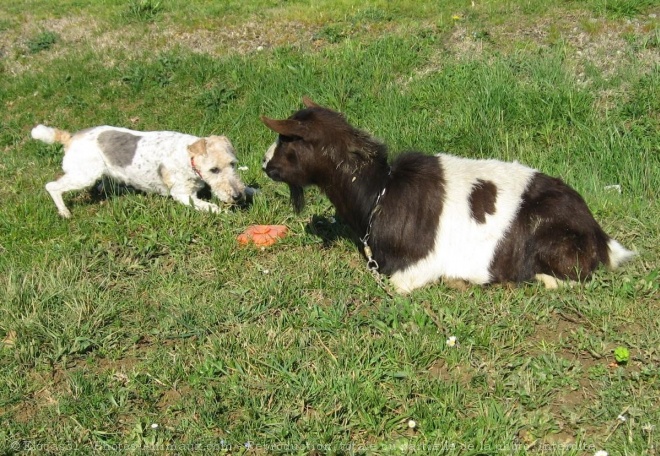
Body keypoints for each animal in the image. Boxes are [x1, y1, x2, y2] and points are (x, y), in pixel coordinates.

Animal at [31, 124, 248, 218]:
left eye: (233, 164)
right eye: (214, 169)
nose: (237, 196)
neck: (188, 156)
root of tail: (69, 138)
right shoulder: (182, 195)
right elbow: (210, 207)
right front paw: (226, 213)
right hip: (83, 175)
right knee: (52, 186)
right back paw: (65, 212)